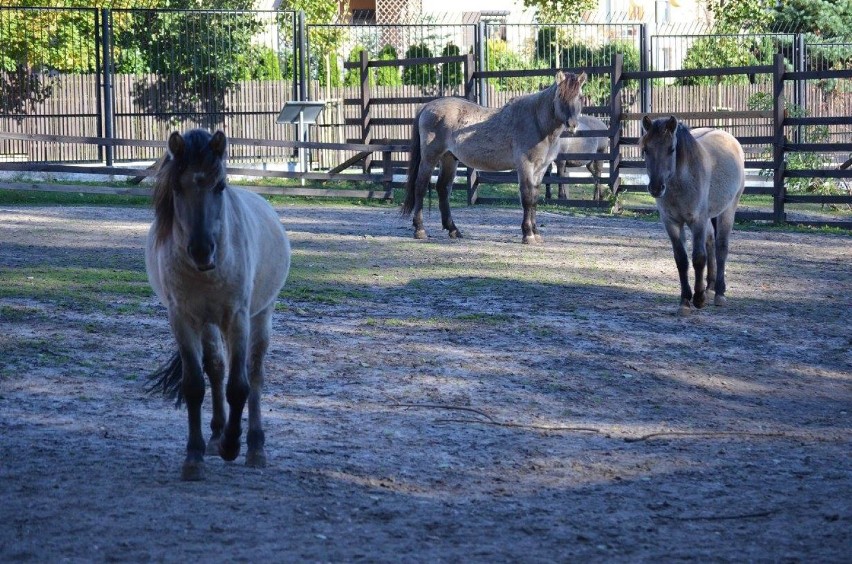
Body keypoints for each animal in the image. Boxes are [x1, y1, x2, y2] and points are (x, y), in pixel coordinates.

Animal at [145, 128, 292, 480]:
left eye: (220, 186)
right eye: (176, 187)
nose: (201, 251)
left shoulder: (237, 317)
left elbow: (238, 386)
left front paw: (232, 446)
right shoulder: (182, 319)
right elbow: (195, 386)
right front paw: (195, 456)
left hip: (260, 315)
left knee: (254, 373)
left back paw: (254, 447)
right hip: (209, 323)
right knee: (215, 368)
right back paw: (215, 435)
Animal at [400, 70, 584, 242]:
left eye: (580, 97)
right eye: (560, 95)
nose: (572, 125)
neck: (537, 122)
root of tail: (427, 106)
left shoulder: (540, 169)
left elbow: (534, 198)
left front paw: (536, 233)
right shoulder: (525, 165)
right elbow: (526, 197)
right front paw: (528, 234)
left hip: (449, 158)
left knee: (443, 188)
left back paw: (453, 230)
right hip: (430, 158)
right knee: (420, 187)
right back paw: (420, 229)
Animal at [640, 116, 744, 316]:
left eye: (671, 149)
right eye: (645, 149)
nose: (656, 188)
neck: (681, 182)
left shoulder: (697, 221)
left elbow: (698, 258)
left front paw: (699, 299)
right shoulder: (672, 223)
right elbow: (681, 259)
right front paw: (685, 301)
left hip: (728, 209)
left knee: (721, 247)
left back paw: (719, 293)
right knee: (711, 242)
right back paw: (709, 287)